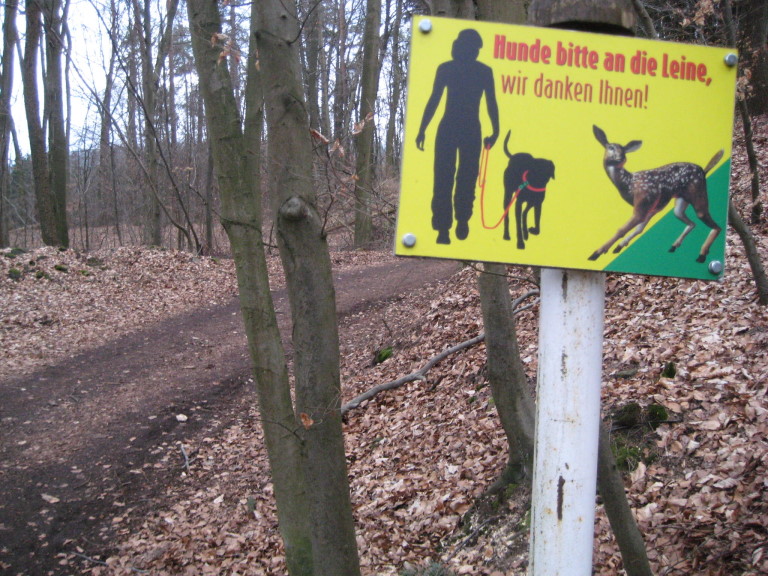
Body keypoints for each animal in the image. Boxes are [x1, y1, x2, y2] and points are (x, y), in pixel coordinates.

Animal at [589, 125, 723, 264]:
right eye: (610, 147)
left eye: (624, 150)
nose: (622, 158)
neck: (629, 183)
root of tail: (704, 171)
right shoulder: (653, 206)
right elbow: (639, 228)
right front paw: (618, 246)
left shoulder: (643, 202)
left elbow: (622, 229)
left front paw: (596, 253)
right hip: (681, 201)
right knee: (691, 222)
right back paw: (674, 246)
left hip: (699, 192)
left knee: (715, 225)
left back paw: (701, 255)